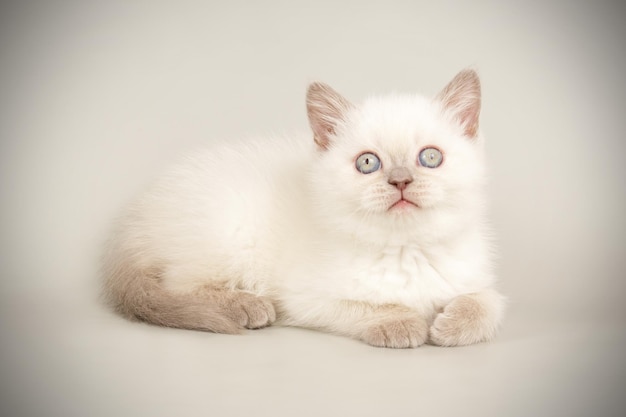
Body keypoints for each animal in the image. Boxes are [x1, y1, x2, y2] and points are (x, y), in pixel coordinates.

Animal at [101, 69, 502, 348]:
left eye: (430, 157)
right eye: (368, 163)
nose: (400, 181)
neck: (406, 249)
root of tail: (137, 215)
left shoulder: (475, 279)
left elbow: (489, 303)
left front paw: (452, 325)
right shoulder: (307, 299)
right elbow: (369, 306)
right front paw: (402, 323)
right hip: (226, 236)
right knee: (178, 285)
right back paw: (246, 305)